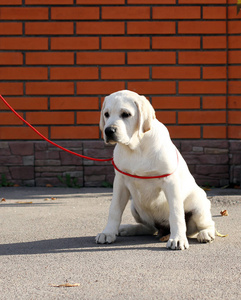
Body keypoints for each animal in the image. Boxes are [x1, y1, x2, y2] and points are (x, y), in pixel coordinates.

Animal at [95, 90, 215, 250]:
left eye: (126, 114)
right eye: (106, 114)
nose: (108, 130)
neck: (136, 147)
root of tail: (163, 230)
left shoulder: (170, 182)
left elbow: (176, 214)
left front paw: (178, 239)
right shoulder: (120, 181)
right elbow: (114, 209)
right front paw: (107, 232)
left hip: (199, 205)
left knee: (207, 223)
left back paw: (205, 233)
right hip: (135, 208)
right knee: (150, 228)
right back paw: (128, 228)